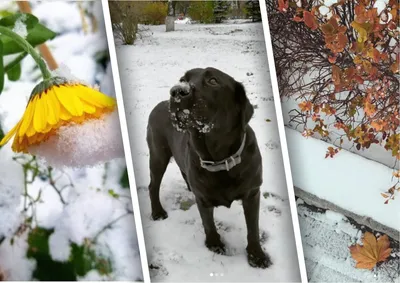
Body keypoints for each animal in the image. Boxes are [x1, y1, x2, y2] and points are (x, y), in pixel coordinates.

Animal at [145, 66, 270, 268]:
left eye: (213, 80)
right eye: (183, 79)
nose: (177, 91)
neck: (220, 159)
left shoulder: (252, 193)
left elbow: (253, 228)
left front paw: (256, 255)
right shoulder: (203, 199)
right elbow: (208, 223)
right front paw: (214, 244)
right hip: (158, 155)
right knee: (152, 186)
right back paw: (157, 212)